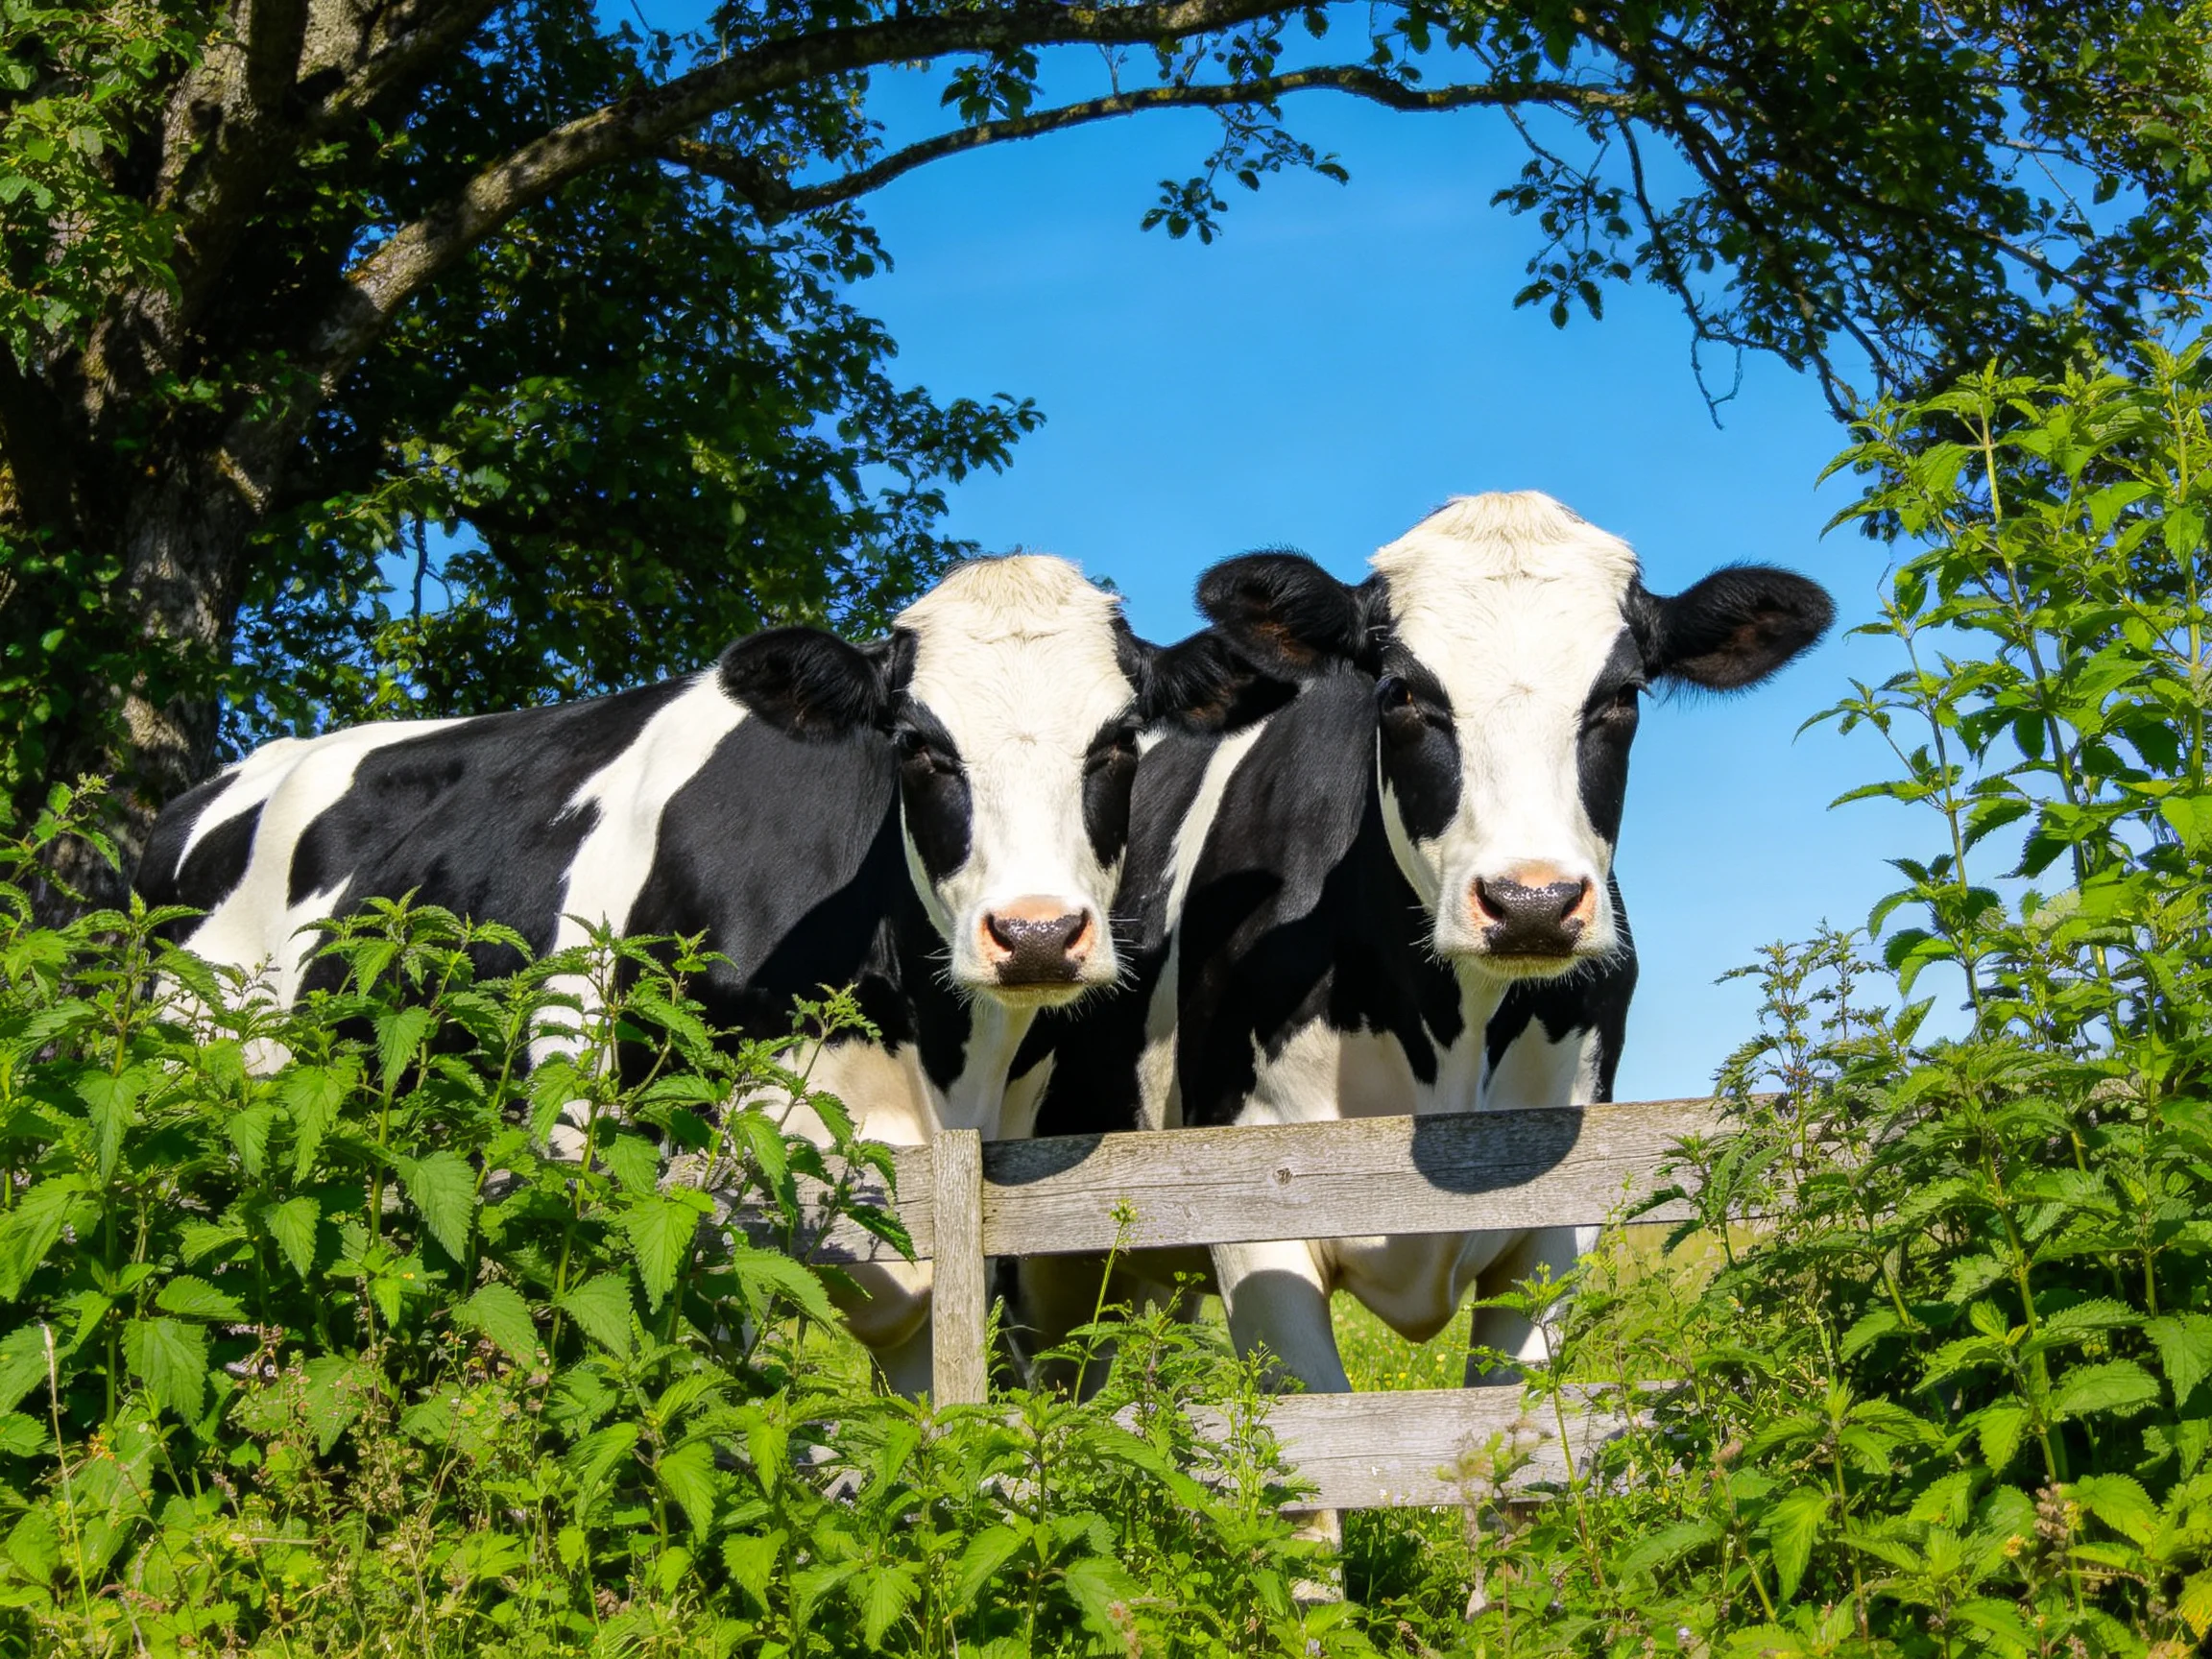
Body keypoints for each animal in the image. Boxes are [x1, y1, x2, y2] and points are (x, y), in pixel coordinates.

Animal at [1017, 492, 1831, 1410]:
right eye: (1401, 692)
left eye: (1624, 695)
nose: (1531, 902)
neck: (1448, 1040)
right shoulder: (1255, 1217)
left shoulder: (1556, 1223)